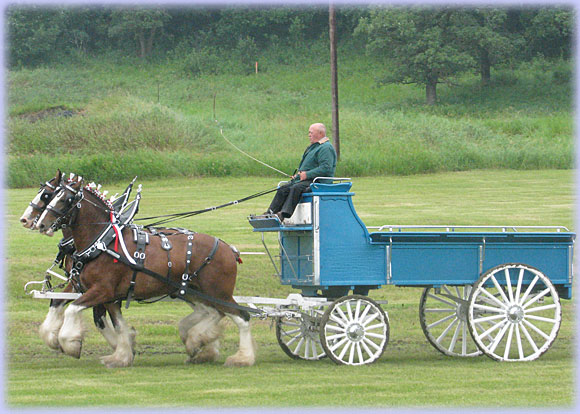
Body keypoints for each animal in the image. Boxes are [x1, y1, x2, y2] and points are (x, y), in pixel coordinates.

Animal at [32, 173, 255, 368]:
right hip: (193, 291)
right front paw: (121, 355)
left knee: (241, 317)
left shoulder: (102, 291)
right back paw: (198, 344)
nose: (38, 223)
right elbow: (114, 324)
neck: (101, 242)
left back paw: (241, 358)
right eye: (50, 195)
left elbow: (72, 309)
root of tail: (228, 248)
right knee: (214, 313)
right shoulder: (104, 295)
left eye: (64, 199)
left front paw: (70, 343)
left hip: (218, 292)